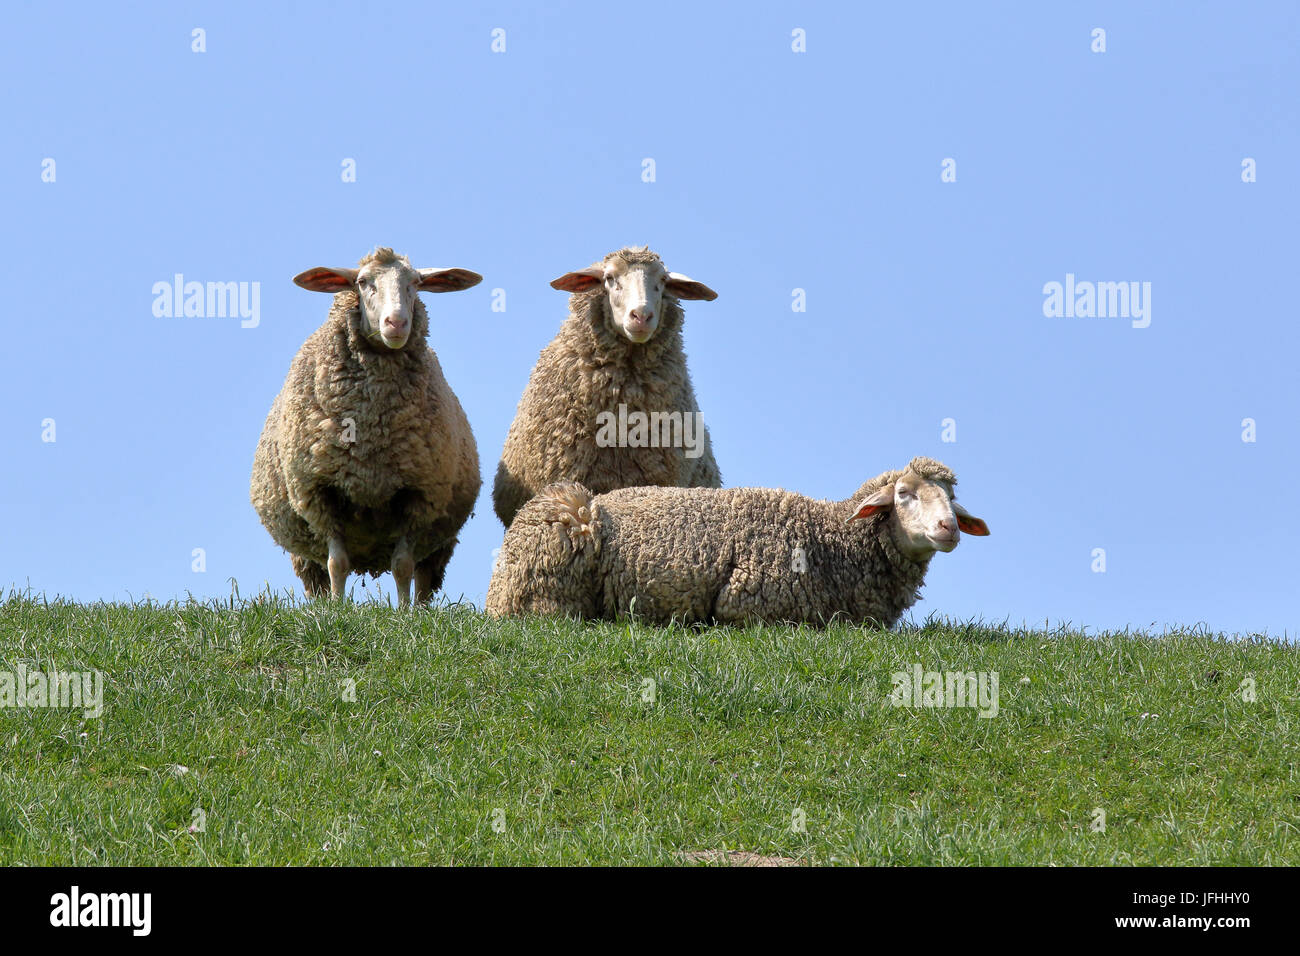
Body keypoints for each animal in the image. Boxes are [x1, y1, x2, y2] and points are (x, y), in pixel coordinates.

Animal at [249, 247, 483, 606]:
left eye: (416, 283)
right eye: (362, 282)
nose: (396, 322)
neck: (373, 427)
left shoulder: (418, 495)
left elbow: (402, 565)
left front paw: (403, 613)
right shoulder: (320, 492)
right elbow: (337, 562)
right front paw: (337, 610)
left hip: (439, 541)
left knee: (424, 576)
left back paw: (420, 609)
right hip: (302, 549)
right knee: (317, 577)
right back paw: (321, 608)